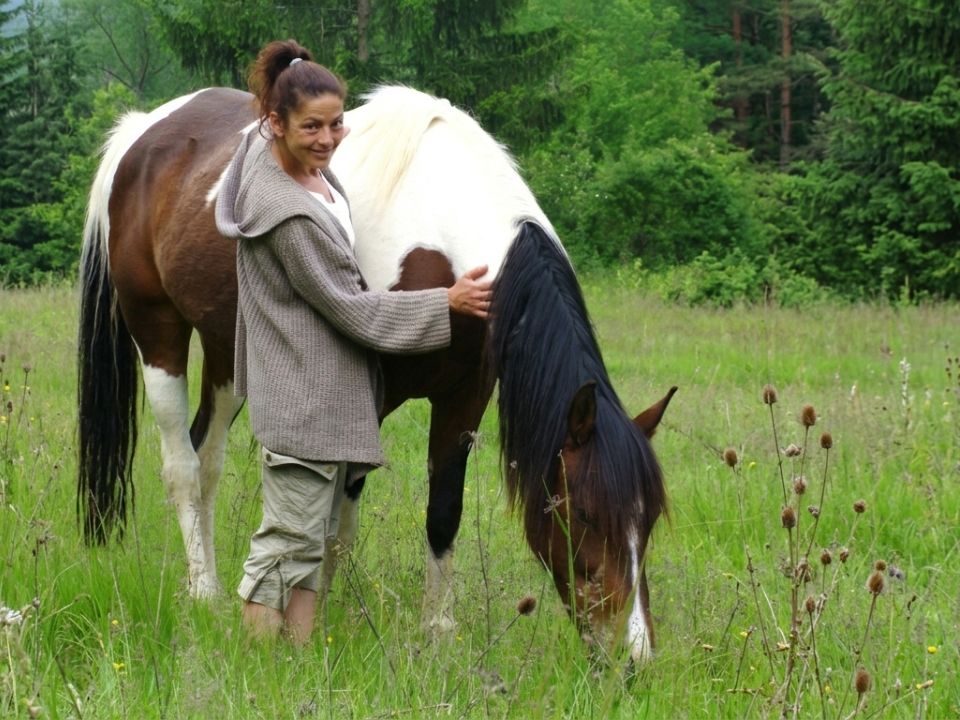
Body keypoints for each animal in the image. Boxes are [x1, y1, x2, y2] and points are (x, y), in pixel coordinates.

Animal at [77, 85, 675, 663]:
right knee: (181, 465)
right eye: (586, 517)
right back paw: (203, 591)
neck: (438, 231)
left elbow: (442, 511)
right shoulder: (363, 398)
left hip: (228, 348)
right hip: (157, 331)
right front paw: (318, 618)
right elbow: (334, 520)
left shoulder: (464, 398)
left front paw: (436, 632)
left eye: (648, 522)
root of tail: (142, 133)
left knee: (207, 459)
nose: (633, 657)